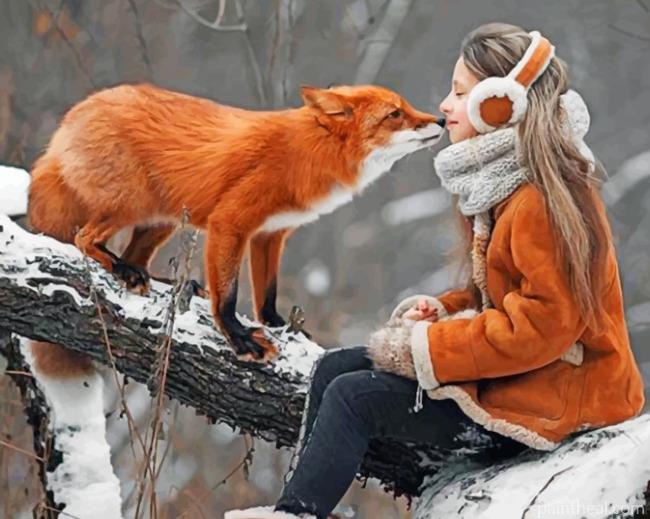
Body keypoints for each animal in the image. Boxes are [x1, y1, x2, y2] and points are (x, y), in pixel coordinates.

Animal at [28, 83, 445, 368]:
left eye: (406, 107)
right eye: (395, 114)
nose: (441, 119)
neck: (307, 153)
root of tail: (75, 113)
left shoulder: (271, 234)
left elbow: (267, 293)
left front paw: (276, 324)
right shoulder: (230, 223)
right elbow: (227, 295)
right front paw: (240, 337)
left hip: (163, 220)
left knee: (134, 254)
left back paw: (157, 279)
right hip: (131, 204)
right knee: (83, 239)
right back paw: (121, 269)